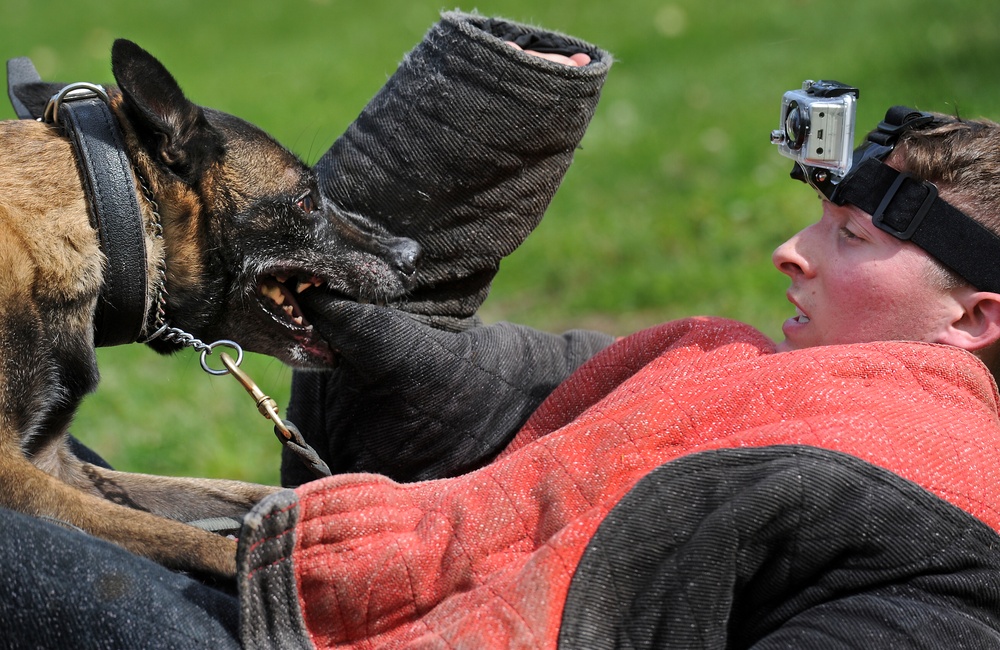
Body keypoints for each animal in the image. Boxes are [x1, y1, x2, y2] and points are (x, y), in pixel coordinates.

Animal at [0, 39, 422, 576]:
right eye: (307, 202)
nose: (411, 254)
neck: (88, 216)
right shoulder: (16, 475)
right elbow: (199, 540)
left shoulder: (57, 464)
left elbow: (248, 493)